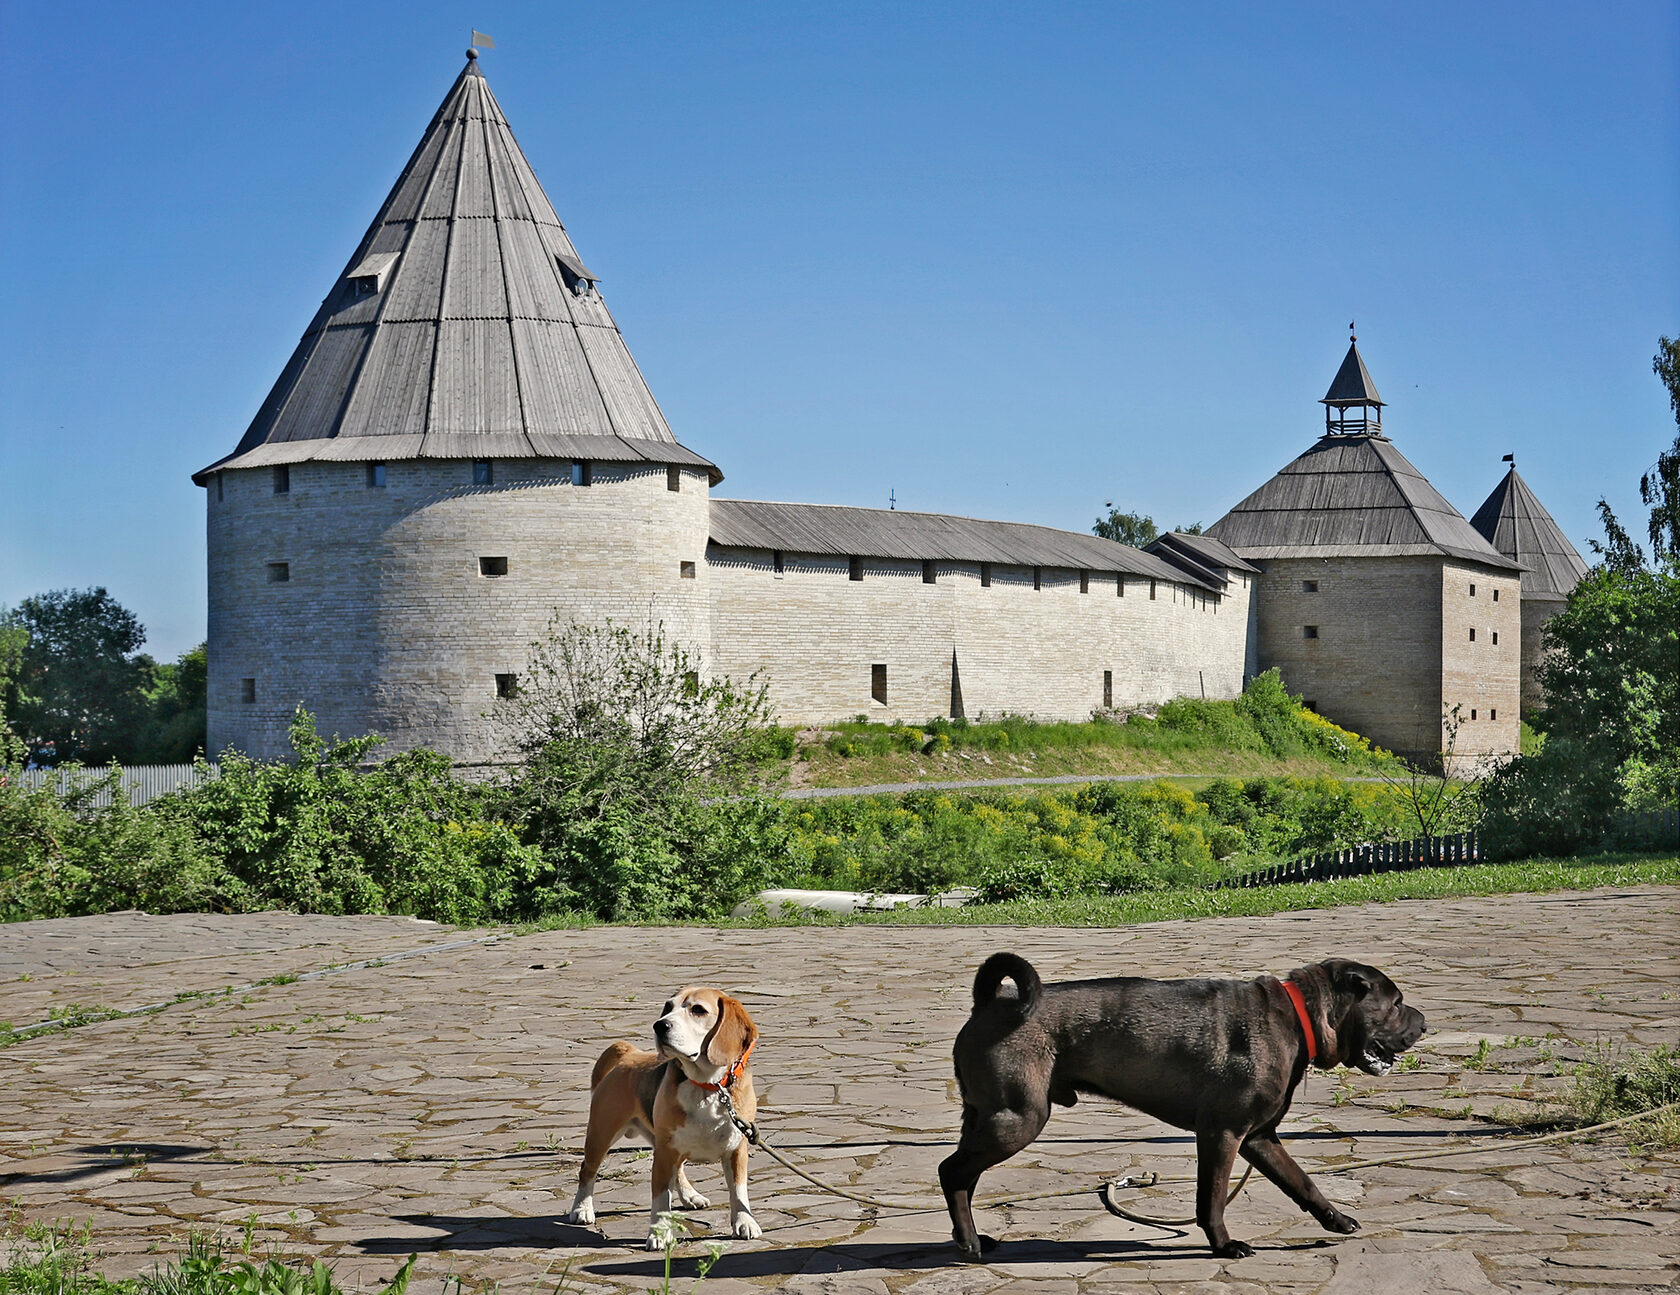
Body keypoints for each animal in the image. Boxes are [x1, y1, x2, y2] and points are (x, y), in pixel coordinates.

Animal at [571, 987, 769, 1249]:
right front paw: (659, 1233)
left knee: (679, 1171)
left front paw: (744, 1222)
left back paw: (691, 1196)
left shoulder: (737, 1148)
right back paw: (582, 1209)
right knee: (587, 1171)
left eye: (698, 1010)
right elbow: (661, 1198)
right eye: (668, 1007)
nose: (659, 1025)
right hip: (601, 1134)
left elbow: (738, 1190)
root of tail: (629, 1054)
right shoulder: (665, 1154)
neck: (708, 1087)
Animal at [940, 954, 1424, 1256]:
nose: (1422, 1023)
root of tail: (988, 1004)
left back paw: (973, 1236)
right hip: (1017, 1119)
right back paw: (969, 1242)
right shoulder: (1222, 1135)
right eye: (1396, 1004)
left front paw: (1334, 1219)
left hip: (987, 1121)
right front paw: (1223, 1245)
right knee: (951, 1171)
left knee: (965, 1178)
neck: (1297, 1016)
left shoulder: (1259, 1139)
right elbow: (1211, 1198)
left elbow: (1301, 1182)